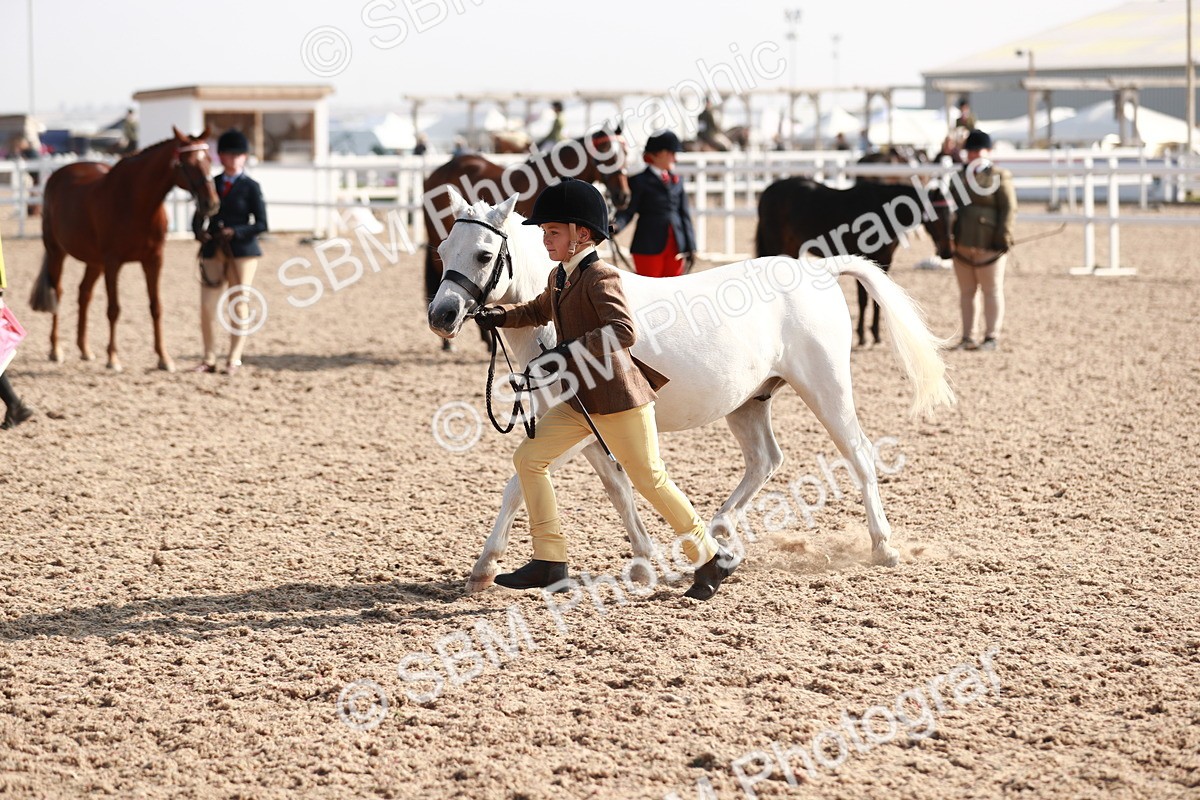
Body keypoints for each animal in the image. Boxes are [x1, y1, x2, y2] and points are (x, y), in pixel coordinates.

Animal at [29, 126, 220, 372]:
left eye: (209, 160)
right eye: (186, 163)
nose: (211, 204)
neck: (135, 202)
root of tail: (57, 175)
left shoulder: (154, 261)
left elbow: (156, 307)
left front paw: (163, 358)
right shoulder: (113, 262)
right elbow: (113, 309)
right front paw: (113, 358)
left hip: (94, 262)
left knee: (84, 294)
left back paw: (85, 349)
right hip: (57, 252)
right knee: (58, 292)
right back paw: (56, 350)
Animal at [755, 176, 953, 348]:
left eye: (951, 216)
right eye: (936, 217)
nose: (948, 253)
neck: (881, 210)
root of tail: (768, 190)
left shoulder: (884, 262)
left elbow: (877, 298)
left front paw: (876, 335)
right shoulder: (864, 256)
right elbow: (863, 300)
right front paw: (863, 336)